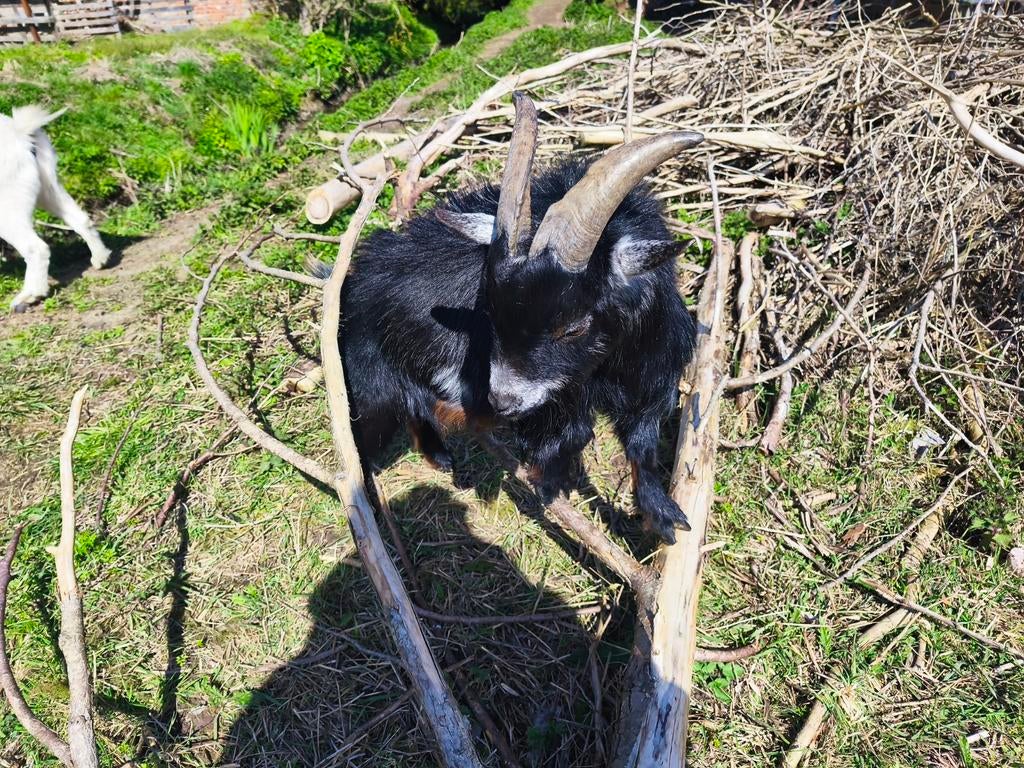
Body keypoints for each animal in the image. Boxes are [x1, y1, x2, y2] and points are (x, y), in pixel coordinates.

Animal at [0, 105, 111, 312]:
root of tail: (19, 132)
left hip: (7, 209)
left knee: (37, 248)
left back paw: (30, 295)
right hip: (48, 189)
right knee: (81, 220)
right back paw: (101, 258)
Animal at [331, 93, 702, 542]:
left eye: (573, 326)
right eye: (491, 313)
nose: (501, 401)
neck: (607, 369)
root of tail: (353, 280)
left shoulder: (655, 372)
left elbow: (643, 443)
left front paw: (663, 516)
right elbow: (575, 430)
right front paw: (550, 479)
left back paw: (440, 455)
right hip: (373, 385)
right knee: (366, 435)